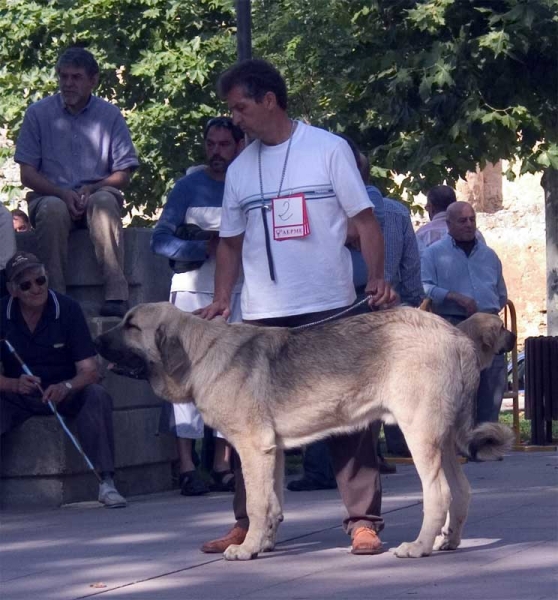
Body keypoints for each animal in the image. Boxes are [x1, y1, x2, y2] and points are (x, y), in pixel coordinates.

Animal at [95, 308, 516, 560]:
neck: (199, 353)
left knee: (439, 493)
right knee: (461, 490)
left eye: (131, 325)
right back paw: (449, 541)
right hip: (441, 440)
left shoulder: (253, 448)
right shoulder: (273, 451)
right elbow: (272, 503)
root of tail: (456, 337)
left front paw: (246, 549)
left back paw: (419, 546)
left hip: (420, 435)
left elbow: (255, 504)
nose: (96, 340)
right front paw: (263, 543)